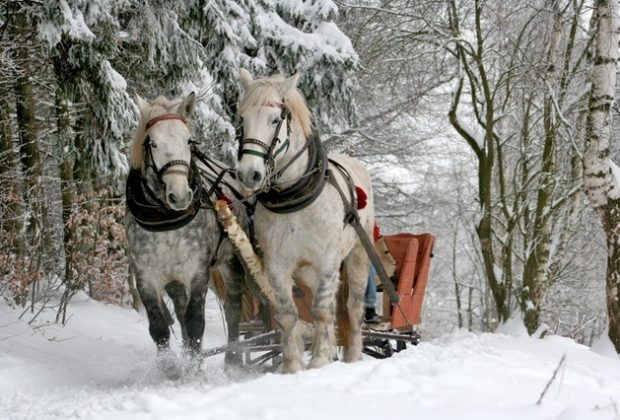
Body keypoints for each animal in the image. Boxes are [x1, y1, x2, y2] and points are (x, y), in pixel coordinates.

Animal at [236, 69, 372, 374]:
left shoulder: (328, 260)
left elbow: (322, 310)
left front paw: (320, 360)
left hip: (357, 255)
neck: (294, 195)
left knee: (352, 306)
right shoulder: (276, 264)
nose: (249, 174)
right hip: (307, 270)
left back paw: (352, 355)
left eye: (275, 120)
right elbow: (288, 314)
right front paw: (292, 366)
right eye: (242, 119)